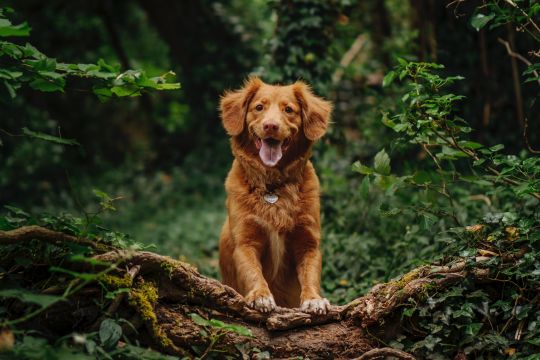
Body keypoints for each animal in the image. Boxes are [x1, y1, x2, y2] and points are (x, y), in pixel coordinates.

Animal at [217, 77, 332, 314]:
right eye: (259, 107)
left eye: (288, 110)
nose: (271, 126)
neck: (273, 187)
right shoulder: (245, 242)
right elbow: (253, 272)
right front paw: (260, 295)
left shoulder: (308, 242)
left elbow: (310, 275)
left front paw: (314, 299)